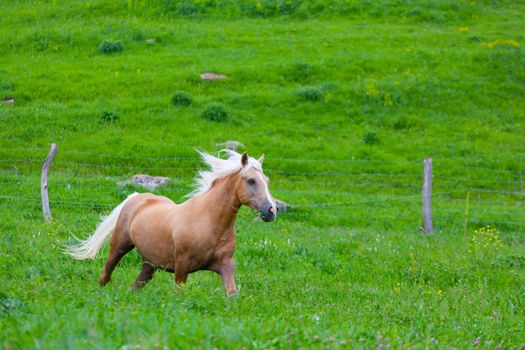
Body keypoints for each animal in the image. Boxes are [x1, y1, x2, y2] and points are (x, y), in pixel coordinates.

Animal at [65, 150, 276, 296]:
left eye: (266, 180)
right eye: (251, 180)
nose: (271, 211)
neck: (209, 222)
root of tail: (136, 197)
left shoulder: (226, 265)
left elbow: (231, 293)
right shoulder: (182, 266)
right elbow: (179, 292)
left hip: (149, 263)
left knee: (136, 285)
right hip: (119, 246)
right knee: (105, 274)